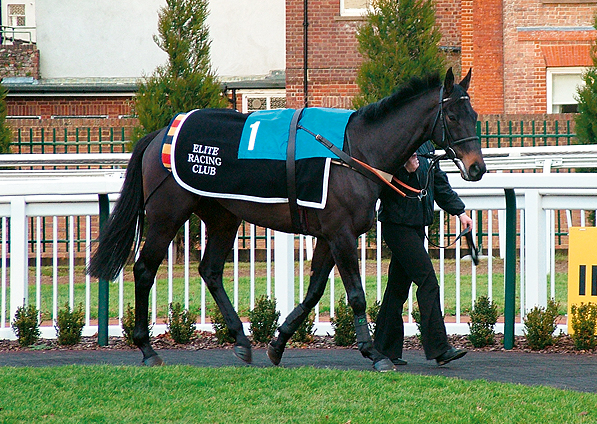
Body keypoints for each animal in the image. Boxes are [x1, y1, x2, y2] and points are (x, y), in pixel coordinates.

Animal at [87, 68, 484, 372]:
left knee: (210, 271)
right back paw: (147, 349)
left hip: (222, 215)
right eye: (452, 116)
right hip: (167, 214)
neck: (354, 152)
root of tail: (159, 135)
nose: (477, 168)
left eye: (475, 116)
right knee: (144, 270)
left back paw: (241, 341)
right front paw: (375, 354)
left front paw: (277, 344)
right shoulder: (340, 233)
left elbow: (313, 292)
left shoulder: (327, 235)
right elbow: (355, 296)